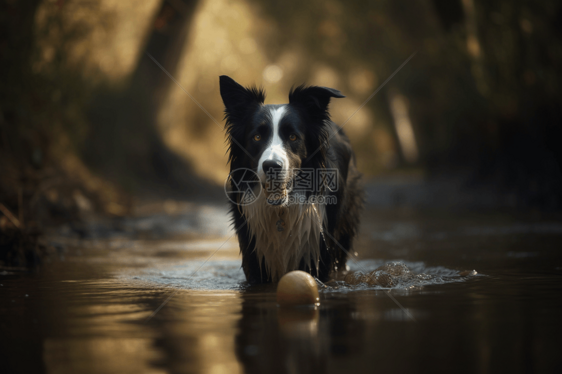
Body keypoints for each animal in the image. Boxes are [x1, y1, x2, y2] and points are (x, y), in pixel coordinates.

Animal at [217, 75, 360, 284]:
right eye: (257, 137)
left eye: (293, 137)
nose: (271, 166)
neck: (281, 211)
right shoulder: (254, 254)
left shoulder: (320, 251)